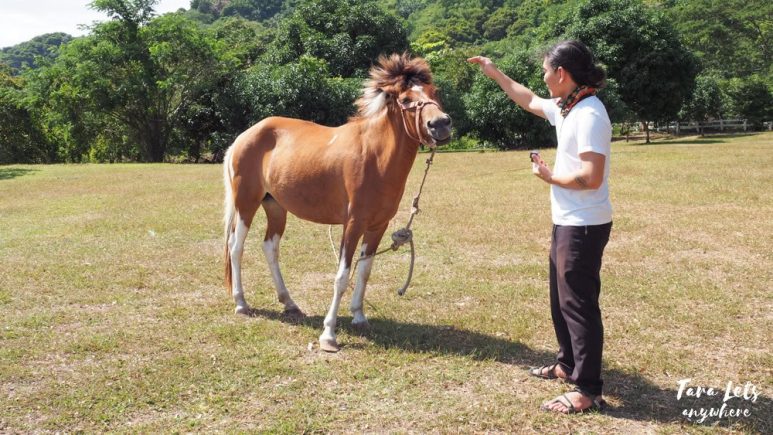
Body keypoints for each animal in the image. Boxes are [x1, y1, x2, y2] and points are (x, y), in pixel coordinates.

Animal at [223, 53, 452, 352]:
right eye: (405, 99)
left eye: (434, 92)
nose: (441, 124)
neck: (375, 156)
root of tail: (243, 137)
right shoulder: (352, 224)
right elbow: (342, 276)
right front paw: (329, 335)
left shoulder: (377, 226)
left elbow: (364, 272)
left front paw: (359, 317)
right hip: (246, 204)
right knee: (236, 247)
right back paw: (241, 303)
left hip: (276, 207)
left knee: (270, 248)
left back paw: (289, 303)